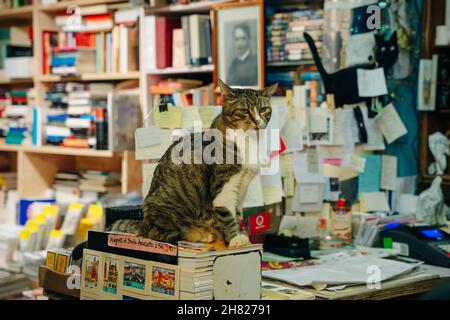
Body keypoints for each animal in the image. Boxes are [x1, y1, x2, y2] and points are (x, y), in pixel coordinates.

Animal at [109, 80, 278, 248]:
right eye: (244, 110)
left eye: (263, 109)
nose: (257, 121)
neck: (248, 141)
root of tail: (143, 222)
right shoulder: (224, 185)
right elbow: (227, 214)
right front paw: (234, 237)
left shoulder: (242, 187)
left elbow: (237, 213)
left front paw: (241, 233)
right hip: (167, 211)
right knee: (167, 233)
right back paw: (201, 234)